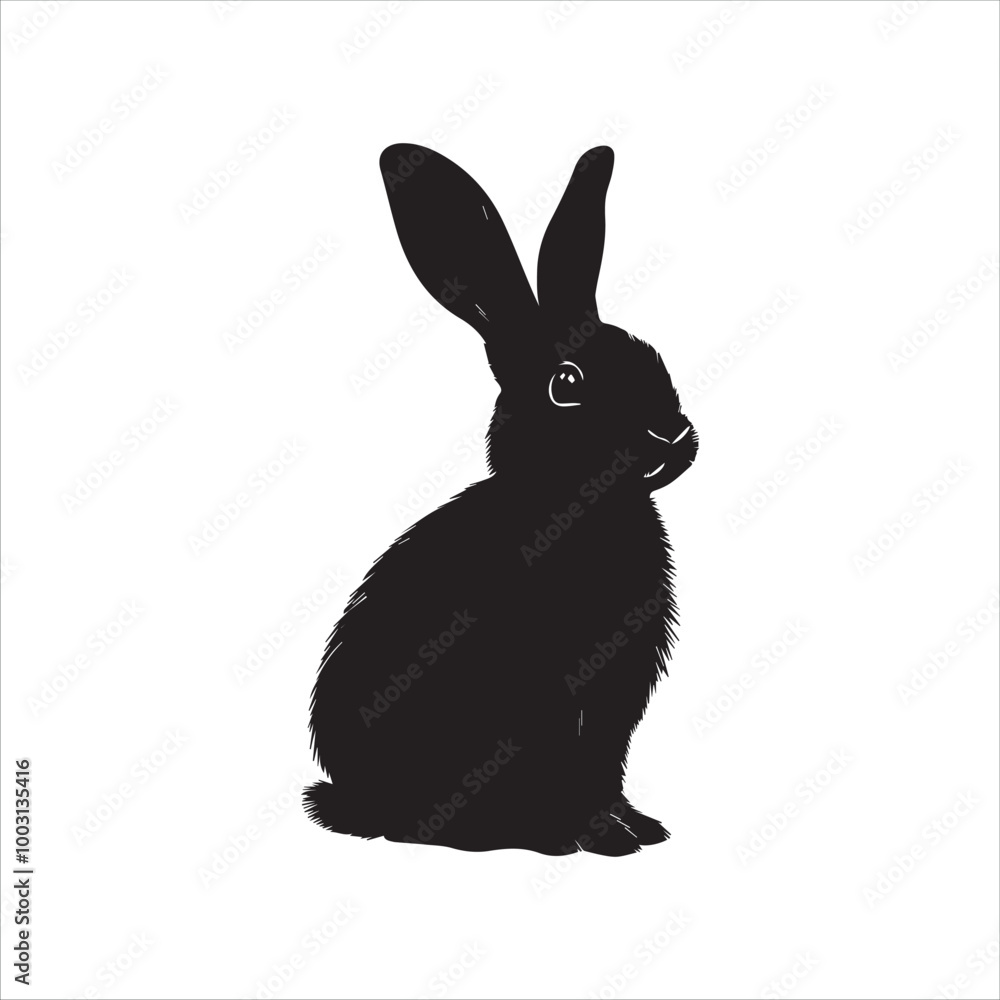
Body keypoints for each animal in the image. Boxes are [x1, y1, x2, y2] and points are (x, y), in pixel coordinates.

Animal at [304, 143, 698, 855]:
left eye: (653, 356)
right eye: (566, 383)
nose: (672, 434)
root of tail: (353, 794)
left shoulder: (615, 701)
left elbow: (604, 761)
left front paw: (636, 827)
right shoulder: (543, 687)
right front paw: (600, 836)